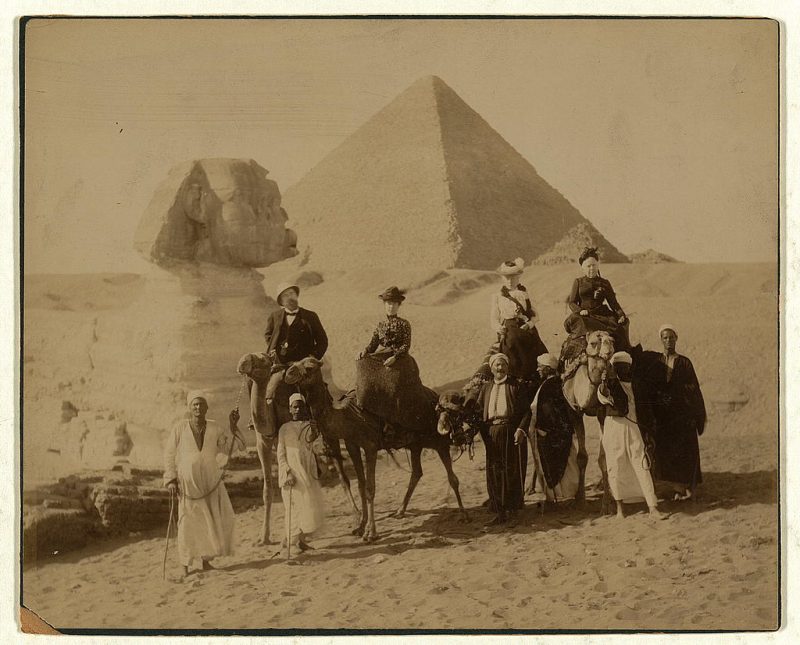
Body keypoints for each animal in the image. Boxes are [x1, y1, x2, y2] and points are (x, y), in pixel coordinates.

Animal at [282, 354, 468, 540]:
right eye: (294, 363)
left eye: (310, 367)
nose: (288, 373)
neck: (348, 417)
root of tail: (435, 398)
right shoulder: (352, 445)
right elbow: (361, 485)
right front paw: (360, 526)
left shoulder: (370, 446)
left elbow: (370, 488)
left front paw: (370, 532)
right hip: (415, 444)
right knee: (417, 472)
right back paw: (400, 511)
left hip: (439, 441)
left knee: (452, 477)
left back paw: (462, 514)